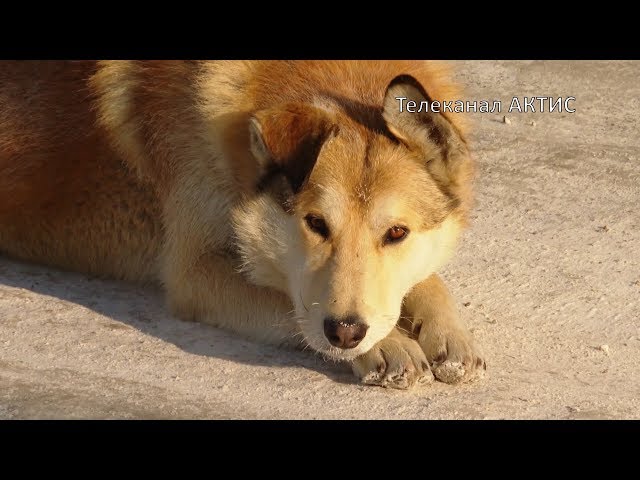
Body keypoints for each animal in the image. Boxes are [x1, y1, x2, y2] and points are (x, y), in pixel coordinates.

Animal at [0, 61, 484, 390]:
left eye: (397, 233)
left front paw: (448, 332)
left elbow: (426, 280)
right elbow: (290, 306)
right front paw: (388, 344)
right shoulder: (195, 274)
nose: (346, 332)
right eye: (315, 223)